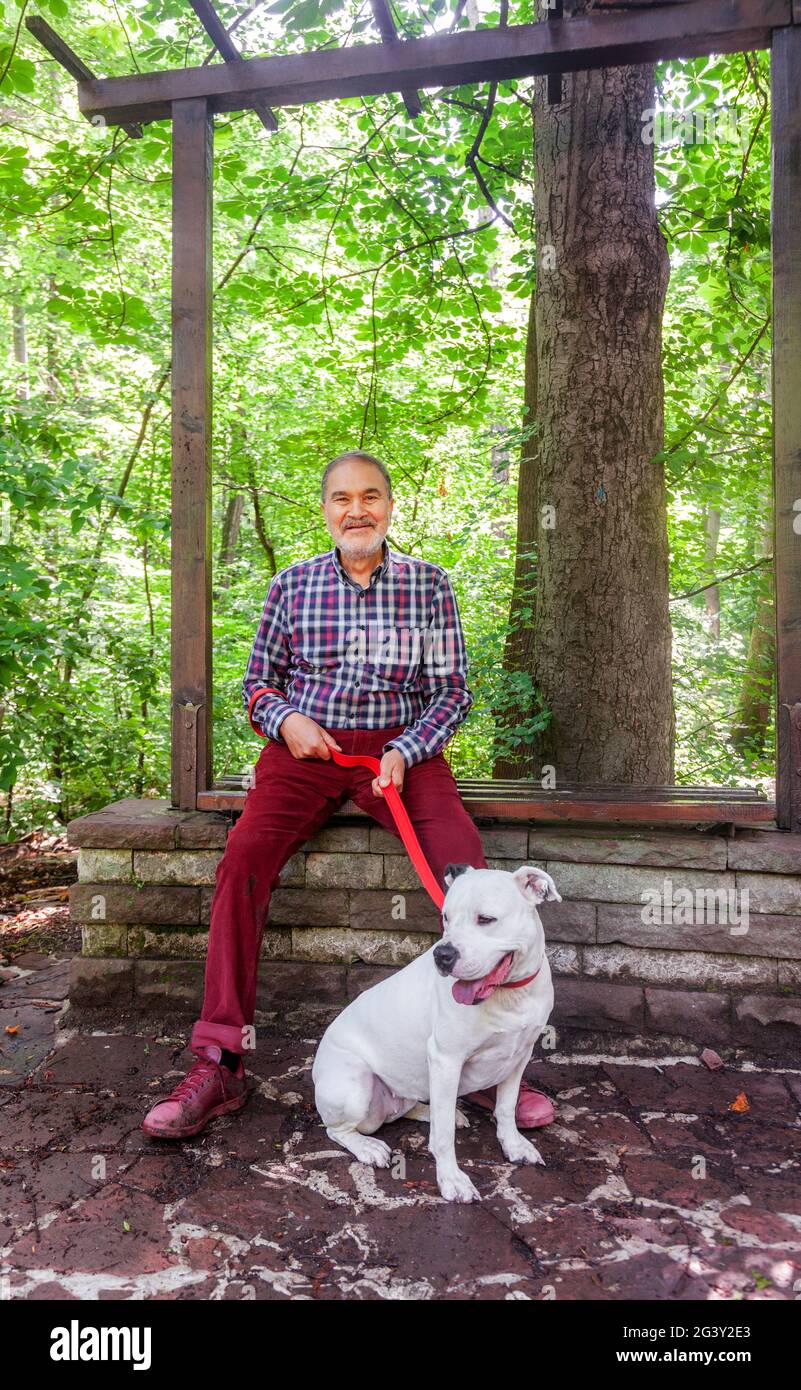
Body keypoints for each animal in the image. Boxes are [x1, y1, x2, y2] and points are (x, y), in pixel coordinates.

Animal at [310, 861, 559, 1200]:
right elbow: (443, 1138)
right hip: (355, 1087)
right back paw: (367, 1146)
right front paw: (452, 1179)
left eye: (486, 919)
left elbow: (506, 1107)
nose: (442, 956)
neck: (509, 995)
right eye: (446, 917)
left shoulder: (520, 1054)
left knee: (414, 1107)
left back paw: (442, 1113)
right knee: (339, 1130)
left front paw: (514, 1145)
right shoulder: (446, 1060)